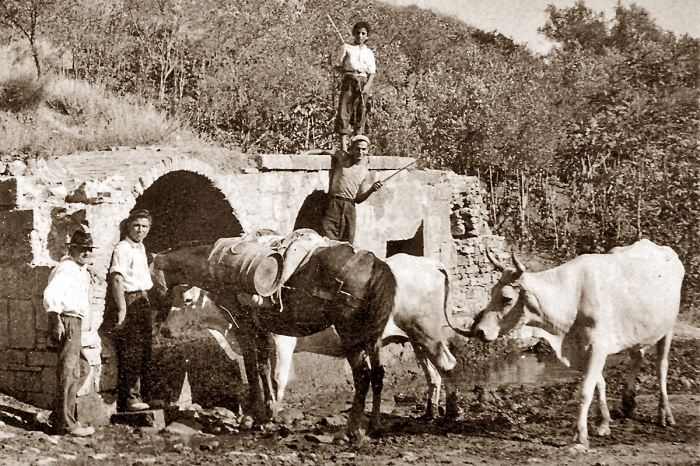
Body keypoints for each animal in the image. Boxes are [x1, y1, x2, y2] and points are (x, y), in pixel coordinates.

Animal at [470, 240, 684, 448]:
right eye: (491, 292)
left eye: (507, 298)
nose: (479, 330)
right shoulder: (582, 350)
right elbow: (599, 383)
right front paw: (603, 423)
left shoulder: (597, 348)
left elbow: (585, 391)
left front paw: (581, 435)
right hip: (637, 330)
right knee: (637, 356)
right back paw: (628, 402)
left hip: (668, 327)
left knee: (661, 366)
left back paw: (665, 414)